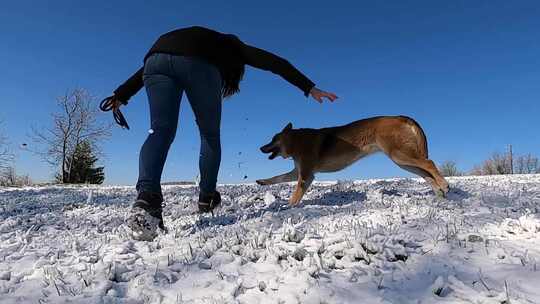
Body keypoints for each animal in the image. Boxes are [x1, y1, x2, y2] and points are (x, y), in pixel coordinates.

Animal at [255, 115, 450, 205]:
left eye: (273, 139)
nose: (261, 148)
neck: (296, 141)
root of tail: (400, 116)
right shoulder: (298, 172)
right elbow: (277, 178)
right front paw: (262, 181)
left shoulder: (306, 176)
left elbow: (295, 195)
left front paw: (289, 208)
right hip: (403, 162)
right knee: (426, 174)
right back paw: (439, 193)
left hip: (400, 155)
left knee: (430, 164)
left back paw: (444, 185)